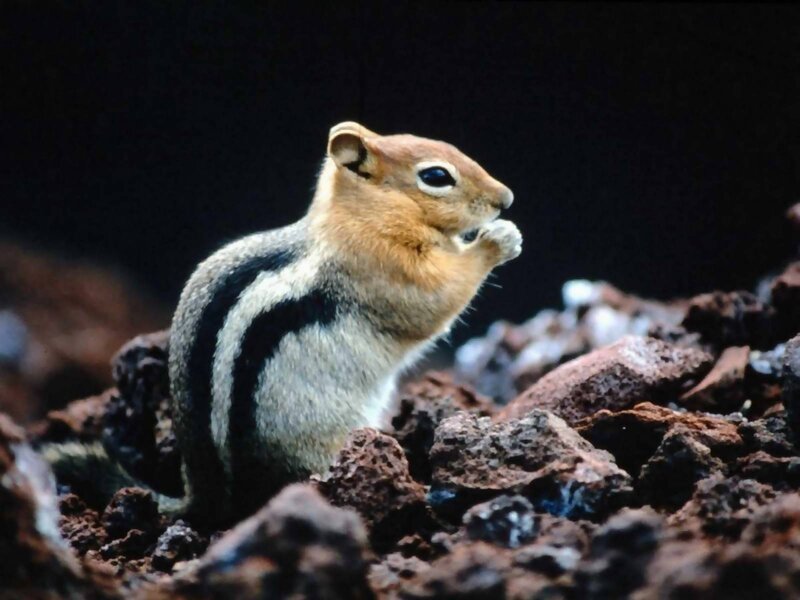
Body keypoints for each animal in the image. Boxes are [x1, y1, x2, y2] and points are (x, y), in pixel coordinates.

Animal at [44, 122, 522, 522]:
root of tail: (207, 495)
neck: (362, 217)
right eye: (436, 176)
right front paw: (499, 241)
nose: (506, 199)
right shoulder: (391, 271)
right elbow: (439, 298)